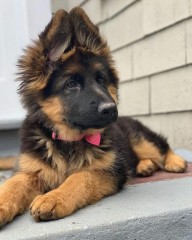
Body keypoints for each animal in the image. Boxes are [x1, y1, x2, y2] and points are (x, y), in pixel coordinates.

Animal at [0, 6, 187, 226]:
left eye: (101, 80)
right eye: (71, 84)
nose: (111, 109)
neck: (67, 141)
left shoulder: (109, 171)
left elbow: (81, 177)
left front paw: (54, 197)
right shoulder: (31, 170)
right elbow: (13, 184)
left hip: (140, 138)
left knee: (161, 145)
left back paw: (175, 161)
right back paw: (145, 166)